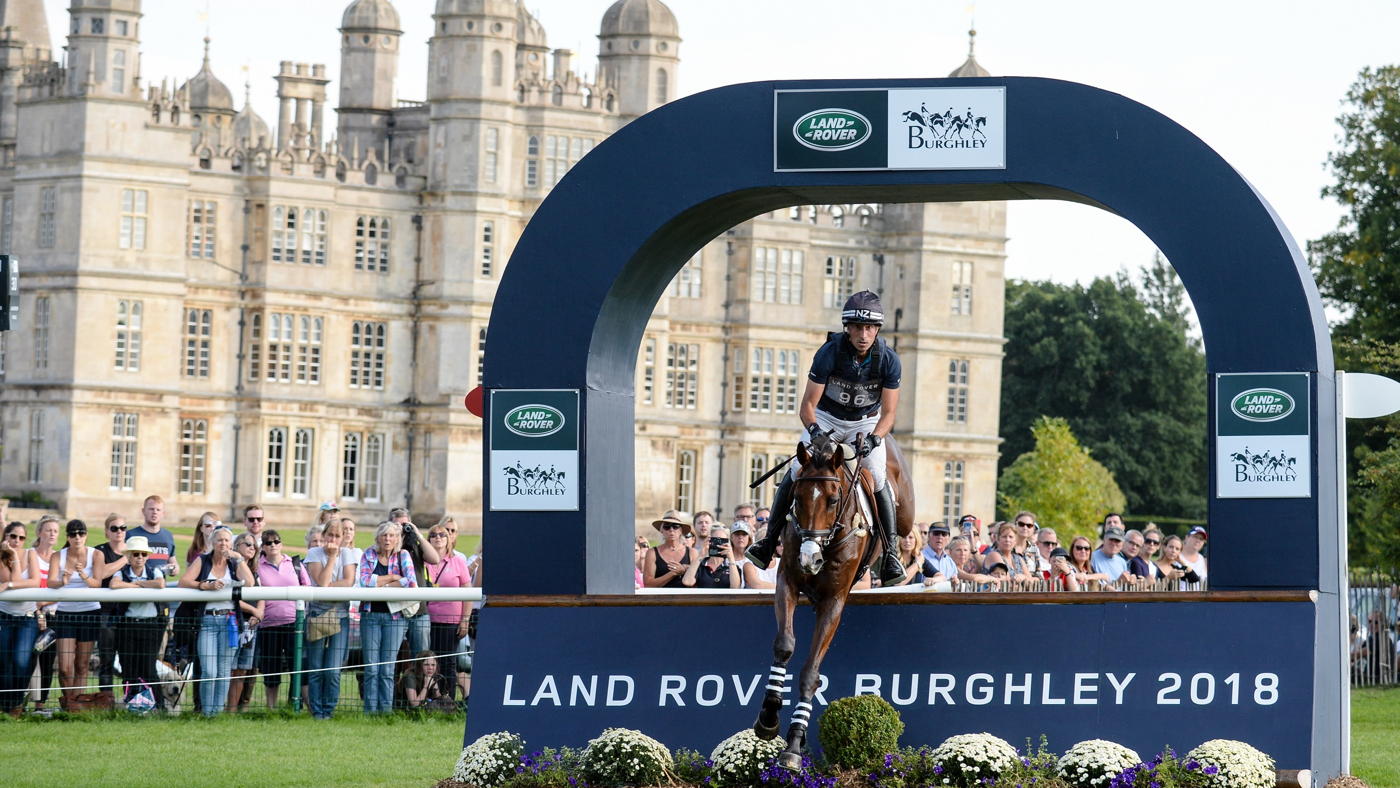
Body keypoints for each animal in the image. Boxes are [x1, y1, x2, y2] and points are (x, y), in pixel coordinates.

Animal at [751, 434, 914, 770]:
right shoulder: (787, 583)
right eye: (797, 497)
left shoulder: (833, 602)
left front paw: (793, 745)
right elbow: (784, 646)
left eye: (833, 499)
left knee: (901, 522)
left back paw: (895, 562)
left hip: (904, 512)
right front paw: (769, 717)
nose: (809, 559)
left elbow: (811, 672)